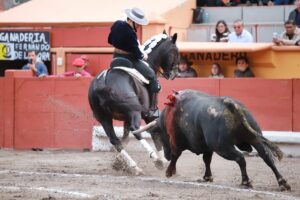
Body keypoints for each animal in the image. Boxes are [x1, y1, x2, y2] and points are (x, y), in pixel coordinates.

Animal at [88, 32, 179, 174]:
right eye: (175, 51)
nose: (174, 74)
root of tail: (103, 82)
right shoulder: (148, 115)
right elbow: (155, 135)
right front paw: (163, 160)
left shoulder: (126, 118)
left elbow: (125, 138)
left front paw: (119, 161)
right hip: (134, 112)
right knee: (136, 130)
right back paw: (155, 159)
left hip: (104, 118)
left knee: (115, 139)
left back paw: (134, 166)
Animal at [151, 90, 290, 190]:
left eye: (161, 137)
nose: (166, 156)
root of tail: (229, 103)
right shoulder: (207, 148)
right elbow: (207, 160)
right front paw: (207, 177)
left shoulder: (176, 141)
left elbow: (176, 155)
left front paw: (169, 172)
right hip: (254, 138)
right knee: (267, 157)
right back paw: (282, 182)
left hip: (222, 147)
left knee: (240, 158)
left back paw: (246, 182)